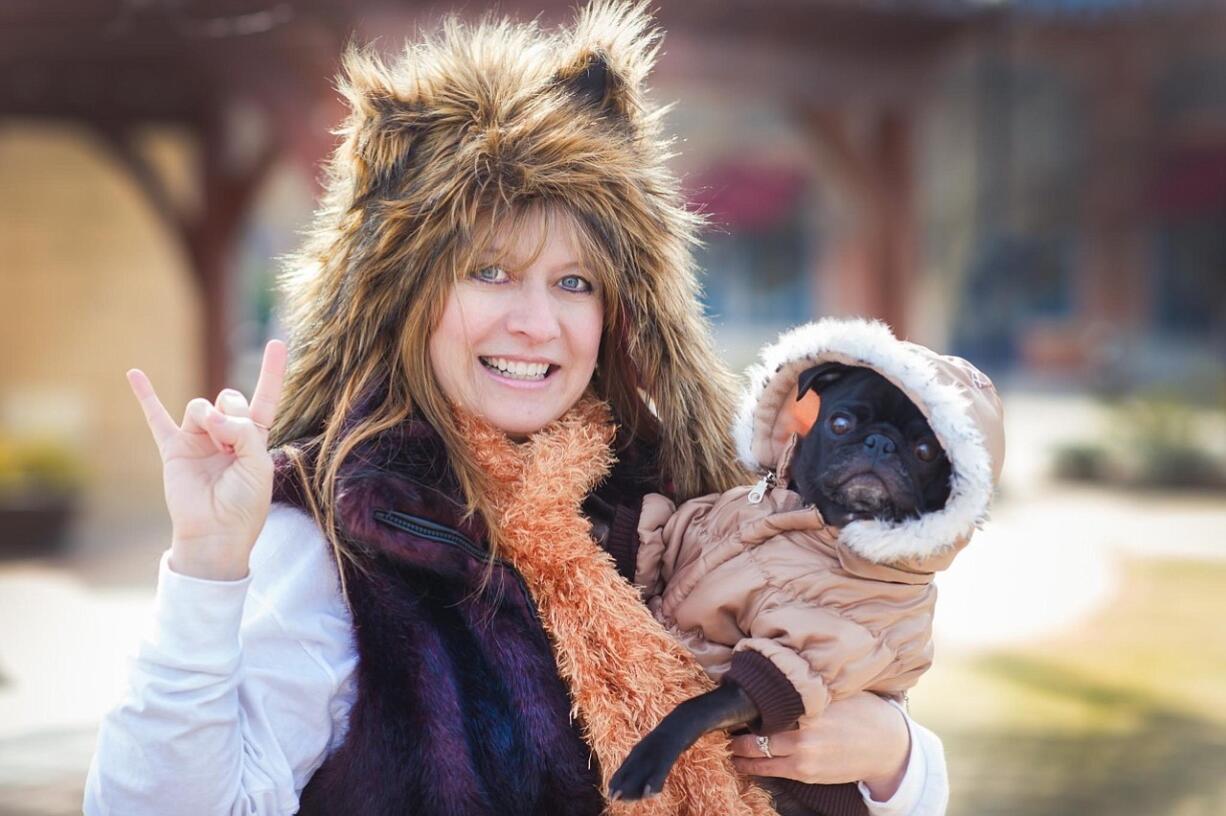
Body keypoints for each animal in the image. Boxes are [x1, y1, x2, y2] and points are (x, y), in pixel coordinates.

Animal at [608, 362, 951, 798]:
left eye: (926, 452)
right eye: (840, 423)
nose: (880, 443)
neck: (810, 520)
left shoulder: (785, 661)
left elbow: (699, 706)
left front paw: (647, 760)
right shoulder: (679, 537)